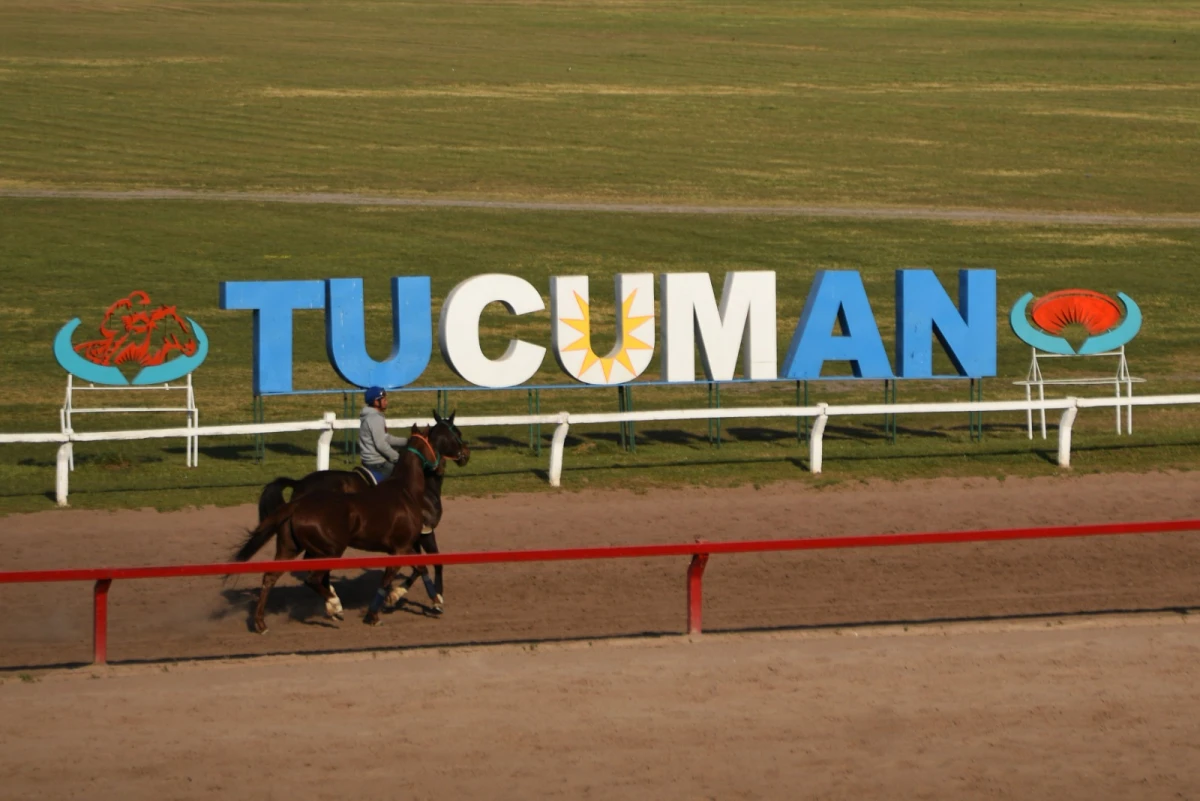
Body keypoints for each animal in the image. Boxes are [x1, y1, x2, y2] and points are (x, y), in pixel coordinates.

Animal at [231, 419, 465, 633]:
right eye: (454, 434)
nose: (465, 454)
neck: (407, 490)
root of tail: (297, 503)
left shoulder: (405, 546)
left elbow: (419, 568)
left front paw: (424, 598)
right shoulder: (405, 545)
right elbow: (397, 575)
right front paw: (378, 612)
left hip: (290, 548)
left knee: (270, 577)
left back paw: (261, 622)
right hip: (330, 551)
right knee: (313, 578)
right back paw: (334, 605)